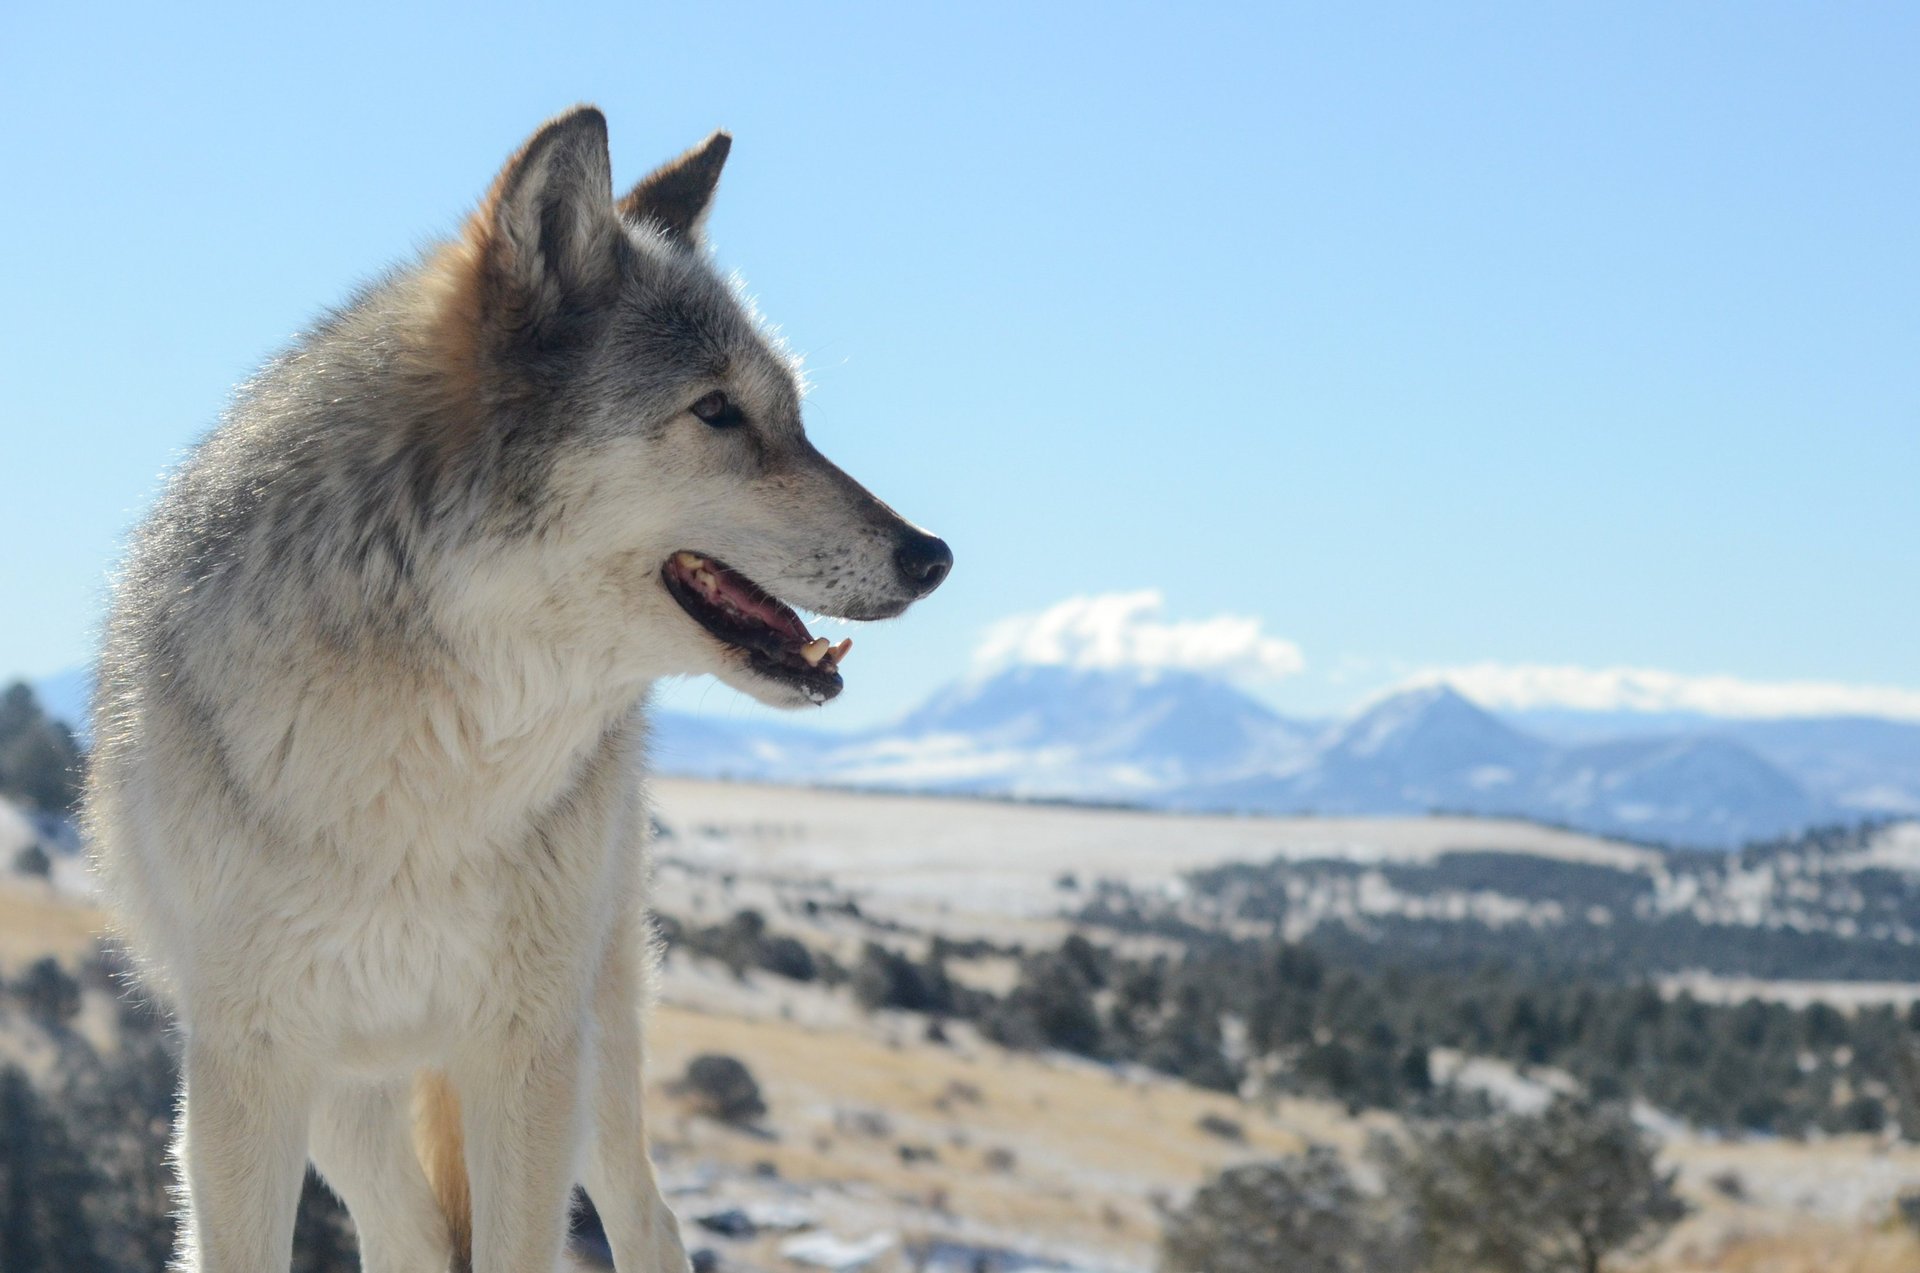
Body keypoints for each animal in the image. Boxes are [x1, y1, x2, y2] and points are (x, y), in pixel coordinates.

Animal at [83, 106, 951, 1273]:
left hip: (595, 1036)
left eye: (796, 417)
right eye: (718, 412)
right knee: (411, 1235)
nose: (931, 555)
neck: (425, 765)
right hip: (351, 1098)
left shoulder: (526, 1054)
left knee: (647, 1215)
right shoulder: (245, 1071)